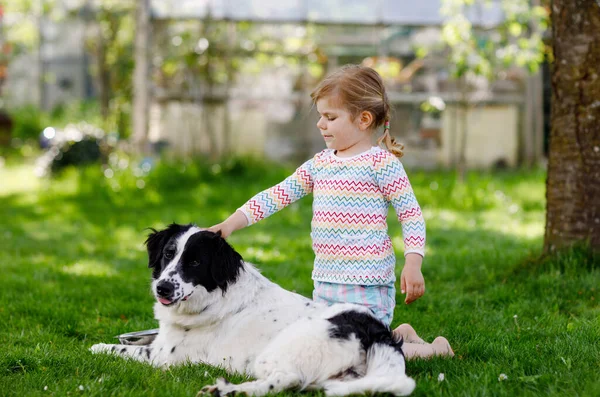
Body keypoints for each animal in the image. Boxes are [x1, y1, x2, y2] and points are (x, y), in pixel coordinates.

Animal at [90, 224, 418, 394]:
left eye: (195, 262)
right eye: (169, 254)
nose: (163, 289)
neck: (213, 298)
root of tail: (375, 331)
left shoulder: (165, 358)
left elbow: (118, 350)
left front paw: (96, 347)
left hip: (276, 352)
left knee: (287, 379)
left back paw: (232, 390)